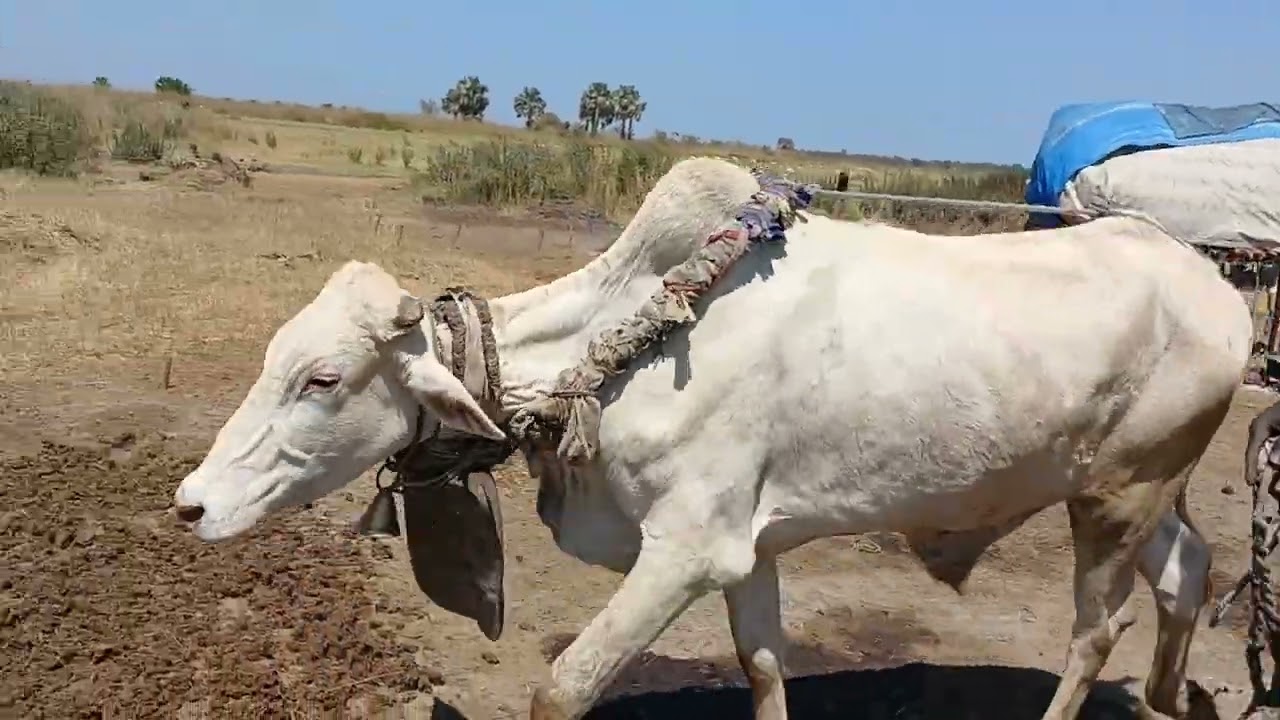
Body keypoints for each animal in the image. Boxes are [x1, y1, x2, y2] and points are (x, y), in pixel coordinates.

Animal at [171, 157, 1252, 720]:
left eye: (322, 379)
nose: (193, 502)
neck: (625, 342)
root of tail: (1208, 282)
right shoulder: (748, 546)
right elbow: (762, 665)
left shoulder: (687, 550)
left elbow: (563, 688)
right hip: (1134, 490)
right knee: (1188, 573)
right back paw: (1175, 696)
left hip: (1113, 499)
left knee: (1095, 630)